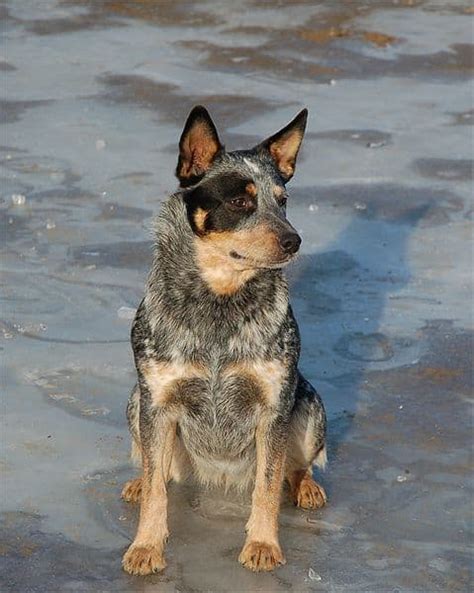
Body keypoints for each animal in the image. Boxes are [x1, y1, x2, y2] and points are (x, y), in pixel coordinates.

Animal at [121, 106, 326, 572]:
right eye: (239, 201)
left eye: (282, 201)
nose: (294, 239)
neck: (219, 305)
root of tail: (218, 478)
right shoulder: (157, 403)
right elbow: (157, 490)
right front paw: (146, 547)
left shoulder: (274, 407)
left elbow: (267, 486)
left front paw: (263, 544)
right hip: (135, 403)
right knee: (154, 469)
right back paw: (137, 483)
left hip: (309, 405)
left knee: (295, 466)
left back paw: (307, 487)